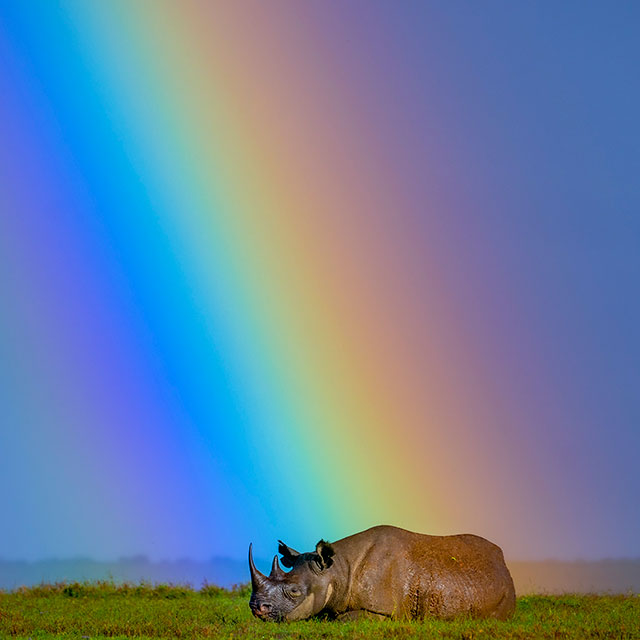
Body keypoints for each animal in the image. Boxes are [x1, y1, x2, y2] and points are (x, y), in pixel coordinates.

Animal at [249, 525, 515, 621]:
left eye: (294, 591)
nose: (256, 608)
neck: (338, 569)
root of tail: (502, 561)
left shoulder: (381, 610)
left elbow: (343, 619)